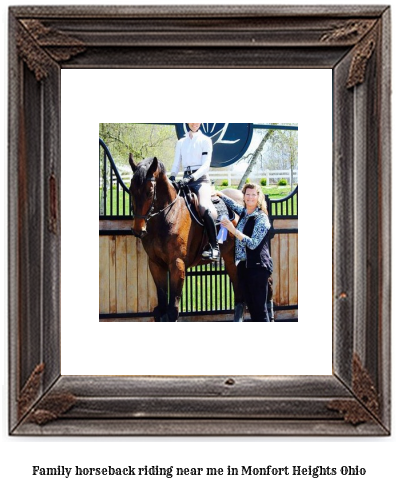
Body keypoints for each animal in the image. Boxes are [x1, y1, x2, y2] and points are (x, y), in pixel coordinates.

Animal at [130, 155, 245, 322]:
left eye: (150, 191)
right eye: (131, 190)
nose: (139, 230)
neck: (168, 215)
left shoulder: (177, 264)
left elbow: (172, 311)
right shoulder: (155, 264)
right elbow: (161, 310)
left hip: (234, 257)